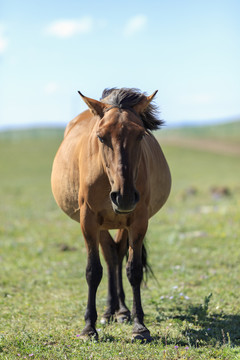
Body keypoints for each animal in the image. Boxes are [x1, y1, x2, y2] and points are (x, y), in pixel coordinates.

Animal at [51, 88, 171, 344]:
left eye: (141, 135)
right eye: (101, 137)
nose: (123, 197)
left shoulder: (138, 221)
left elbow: (133, 270)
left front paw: (139, 326)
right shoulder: (88, 222)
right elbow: (93, 271)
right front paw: (89, 327)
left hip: (122, 224)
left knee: (117, 256)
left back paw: (122, 310)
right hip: (103, 225)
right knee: (109, 257)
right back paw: (109, 311)